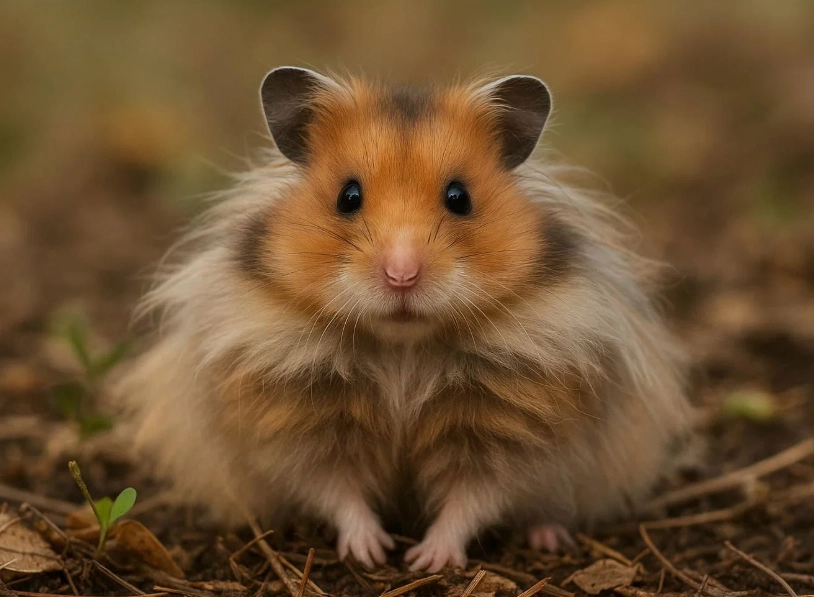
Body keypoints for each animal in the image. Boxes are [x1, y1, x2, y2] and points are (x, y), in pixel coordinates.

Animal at [113, 67, 691, 572]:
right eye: (348, 196)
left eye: (459, 197)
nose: (401, 275)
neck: (403, 350)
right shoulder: (297, 427)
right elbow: (336, 489)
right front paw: (372, 551)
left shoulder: (511, 433)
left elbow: (472, 499)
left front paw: (426, 559)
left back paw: (548, 537)